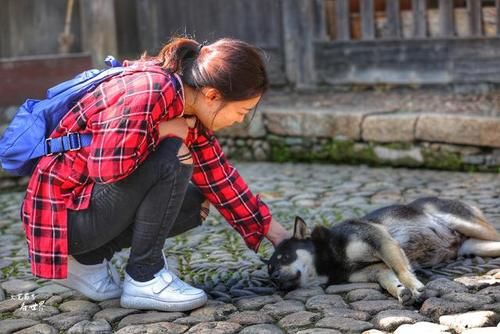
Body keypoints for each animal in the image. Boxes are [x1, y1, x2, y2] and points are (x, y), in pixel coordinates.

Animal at [264, 197, 500, 304]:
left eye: (285, 257)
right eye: (270, 271)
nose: (274, 279)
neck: (330, 259)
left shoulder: (382, 241)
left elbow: (402, 270)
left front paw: (414, 286)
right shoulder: (377, 269)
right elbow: (389, 280)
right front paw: (400, 291)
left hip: (469, 225)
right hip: (475, 246)